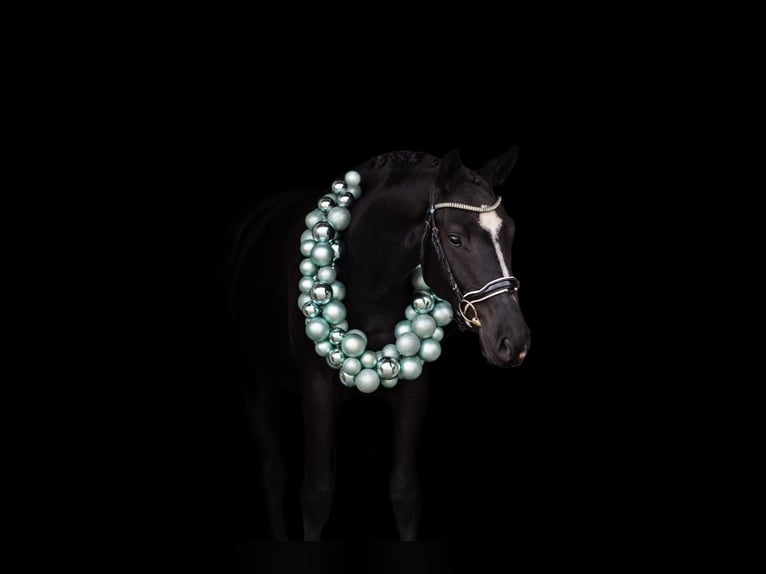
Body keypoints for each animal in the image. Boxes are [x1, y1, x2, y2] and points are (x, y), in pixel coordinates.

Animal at [225, 147, 531, 540]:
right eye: (455, 238)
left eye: (510, 231)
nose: (513, 340)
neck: (371, 284)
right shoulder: (316, 390)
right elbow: (316, 494)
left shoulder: (414, 390)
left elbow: (405, 492)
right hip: (255, 380)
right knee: (273, 474)